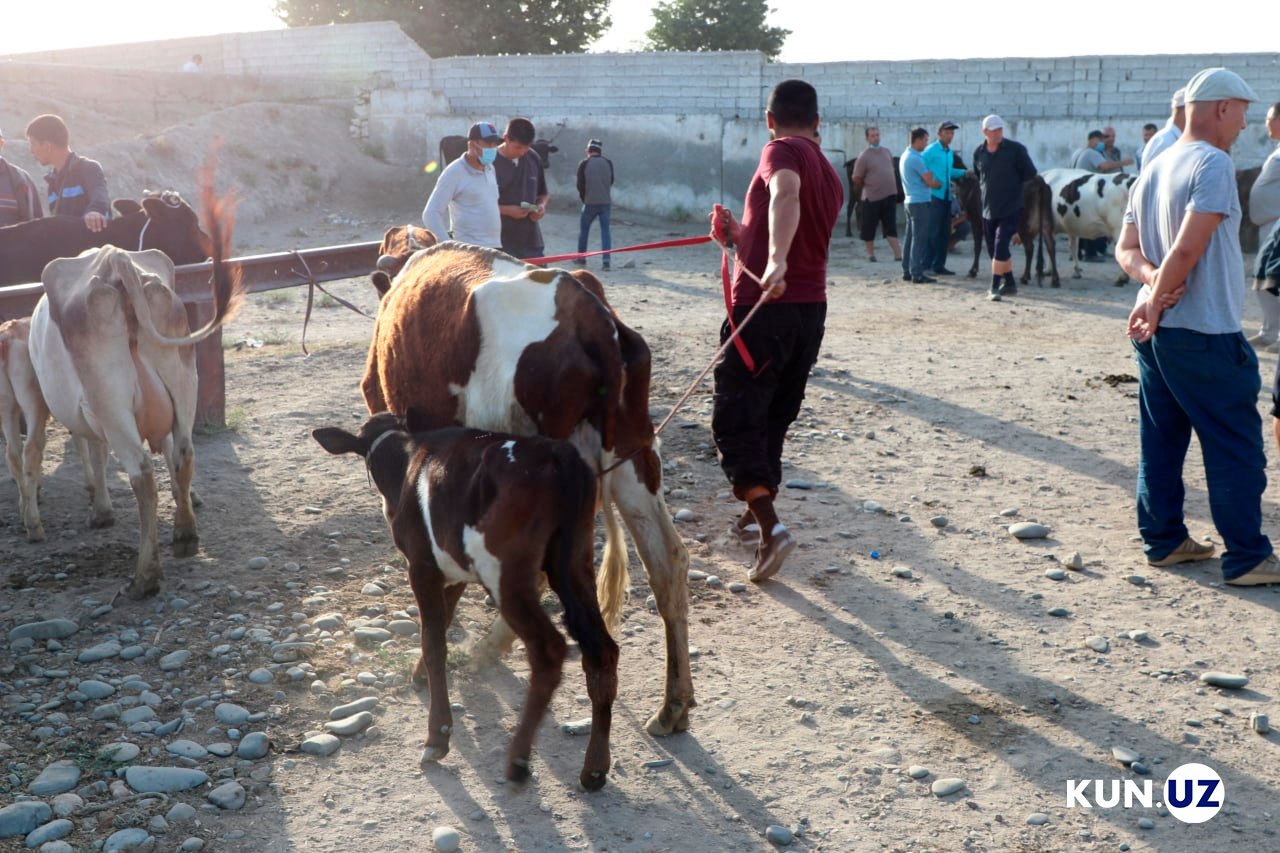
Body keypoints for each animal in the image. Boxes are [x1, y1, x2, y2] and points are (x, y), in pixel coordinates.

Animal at [26, 176, 244, 598]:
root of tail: (116, 262)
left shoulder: (89, 413)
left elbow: (93, 454)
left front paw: (100, 510)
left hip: (110, 402)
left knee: (142, 476)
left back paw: (146, 575)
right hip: (183, 380)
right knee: (184, 454)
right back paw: (185, 536)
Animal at [314, 411, 620, 790]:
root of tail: (558, 455)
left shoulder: (421, 566)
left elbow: (433, 640)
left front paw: (437, 737)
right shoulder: (455, 567)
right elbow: (444, 617)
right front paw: (418, 675)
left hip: (505, 573)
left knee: (549, 648)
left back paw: (517, 760)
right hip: (573, 561)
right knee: (602, 649)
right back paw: (595, 768)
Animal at [362, 234, 694, 737]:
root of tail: (591, 316)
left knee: (531, 571)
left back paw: (483, 650)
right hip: (632, 457)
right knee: (667, 560)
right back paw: (674, 703)